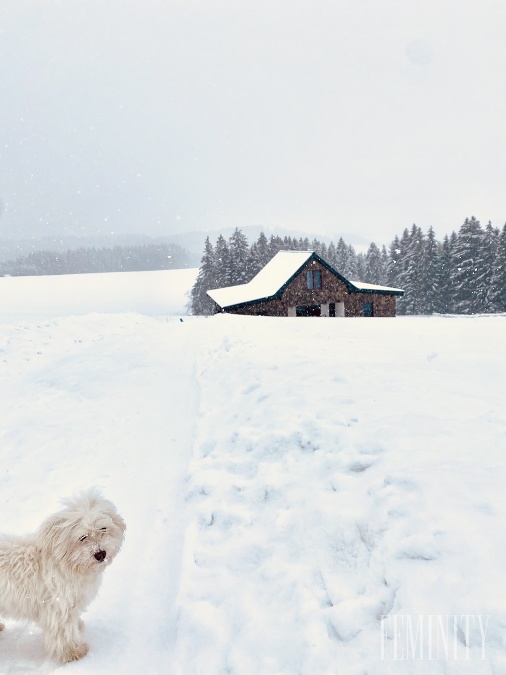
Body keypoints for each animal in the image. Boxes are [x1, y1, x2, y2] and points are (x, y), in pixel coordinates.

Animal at [0, 488, 125, 664]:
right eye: (82, 537)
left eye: (103, 529)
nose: (100, 554)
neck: (66, 565)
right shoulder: (58, 607)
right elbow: (63, 632)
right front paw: (73, 652)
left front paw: (78, 626)